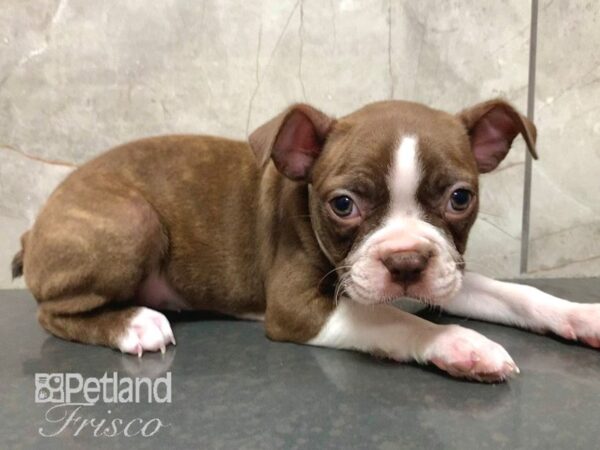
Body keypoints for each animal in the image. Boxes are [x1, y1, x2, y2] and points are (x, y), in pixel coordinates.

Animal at [11, 98, 600, 380]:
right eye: (343, 205)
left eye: (460, 198)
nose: (406, 261)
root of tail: (34, 227)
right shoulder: (297, 308)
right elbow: (395, 319)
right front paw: (460, 344)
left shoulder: (445, 269)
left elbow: (515, 293)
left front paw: (582, 314)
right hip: (134, 221)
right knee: (51, 313)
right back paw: (134, 323)